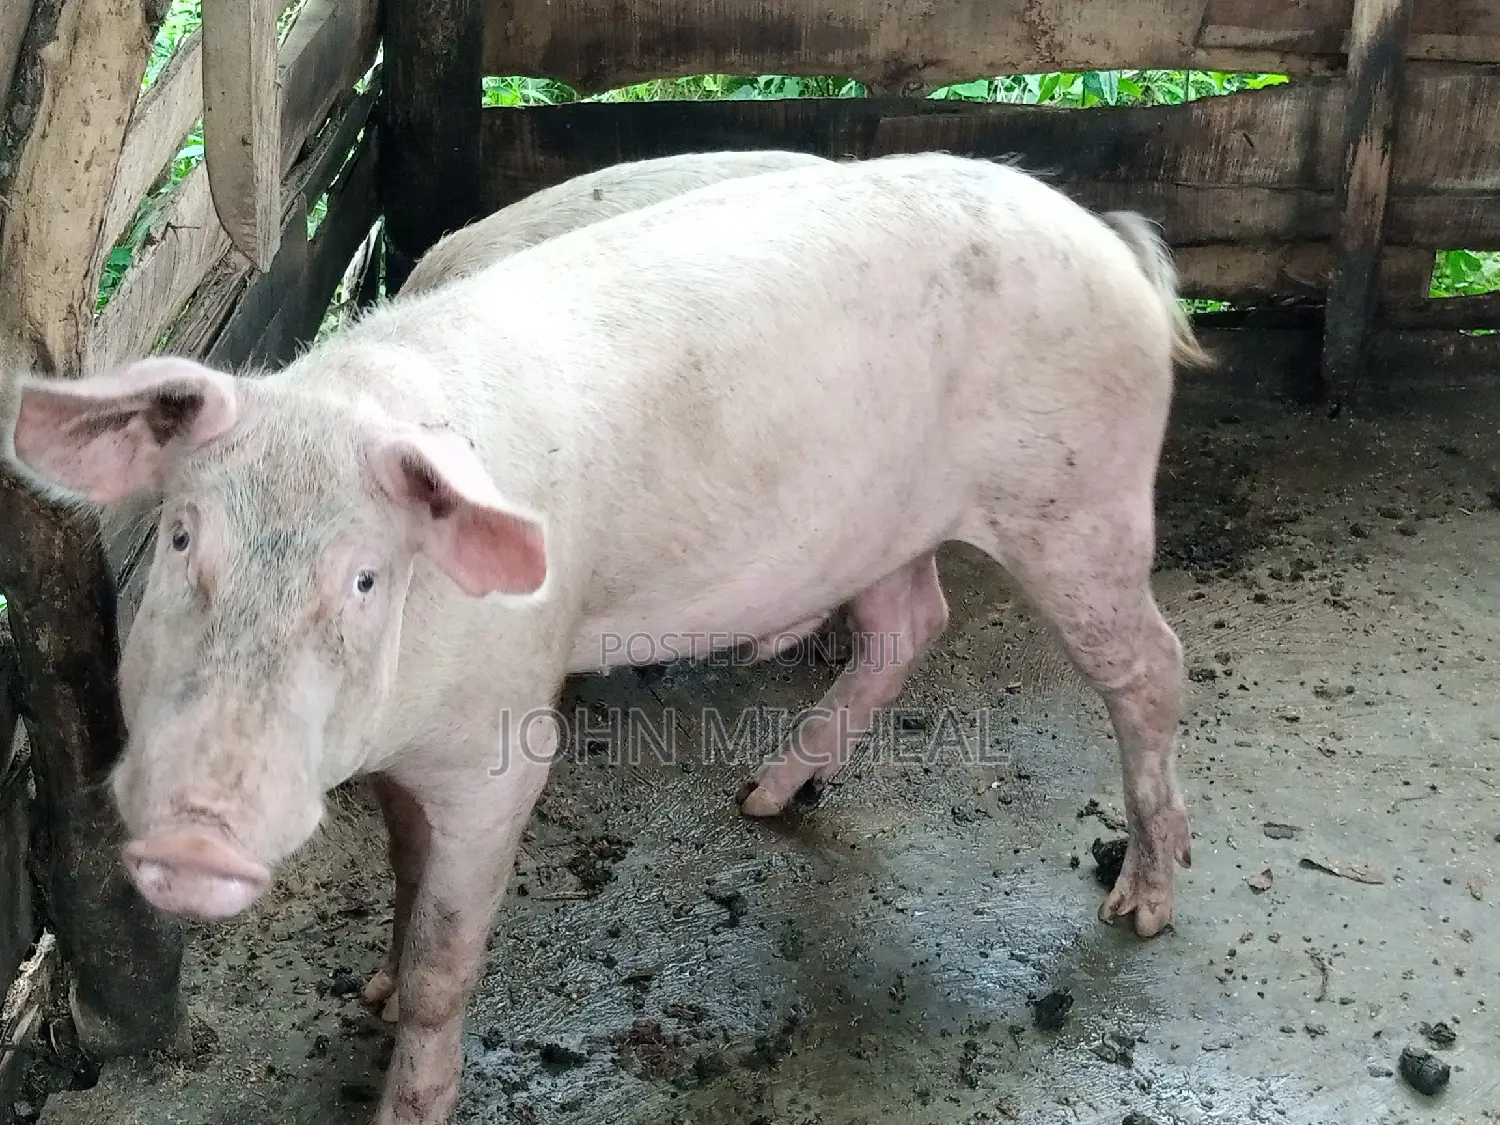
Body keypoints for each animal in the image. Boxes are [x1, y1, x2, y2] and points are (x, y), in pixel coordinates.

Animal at [1, 151, 1208, 1125]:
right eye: (180, 538)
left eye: (365, 578)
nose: (197, 834)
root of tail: (1114, 243)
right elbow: (404, 872)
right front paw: (375, 989)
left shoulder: (503, 744)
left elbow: (450, 959)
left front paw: (407, 1084)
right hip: (885, 522)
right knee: (910, 624)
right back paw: (763, 799)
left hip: (1083, 502)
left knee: (1153, 667)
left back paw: (1142, 907)